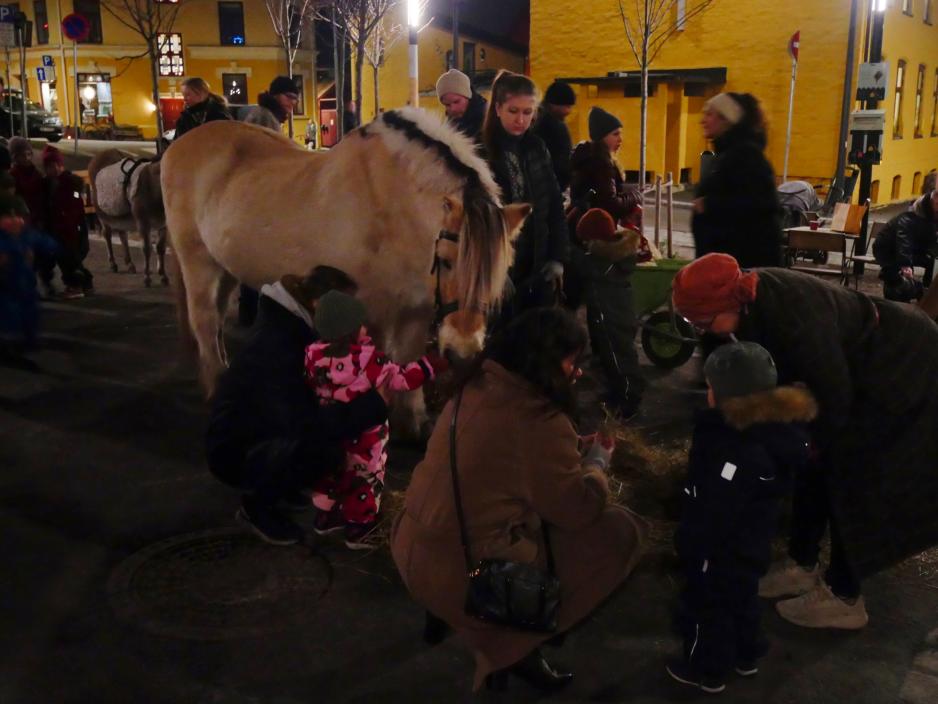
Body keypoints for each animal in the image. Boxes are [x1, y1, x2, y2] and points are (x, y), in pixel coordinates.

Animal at [161, 108, 528, 432]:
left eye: (501, 270)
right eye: (448, 261)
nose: (463, 354)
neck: (395, 205)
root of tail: (176, 148)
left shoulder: (416, 309)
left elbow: (409, 361)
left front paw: (413, 423)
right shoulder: (374, 314)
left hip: (224, 268)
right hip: (197, 262)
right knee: (205, 321)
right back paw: (214, 383)